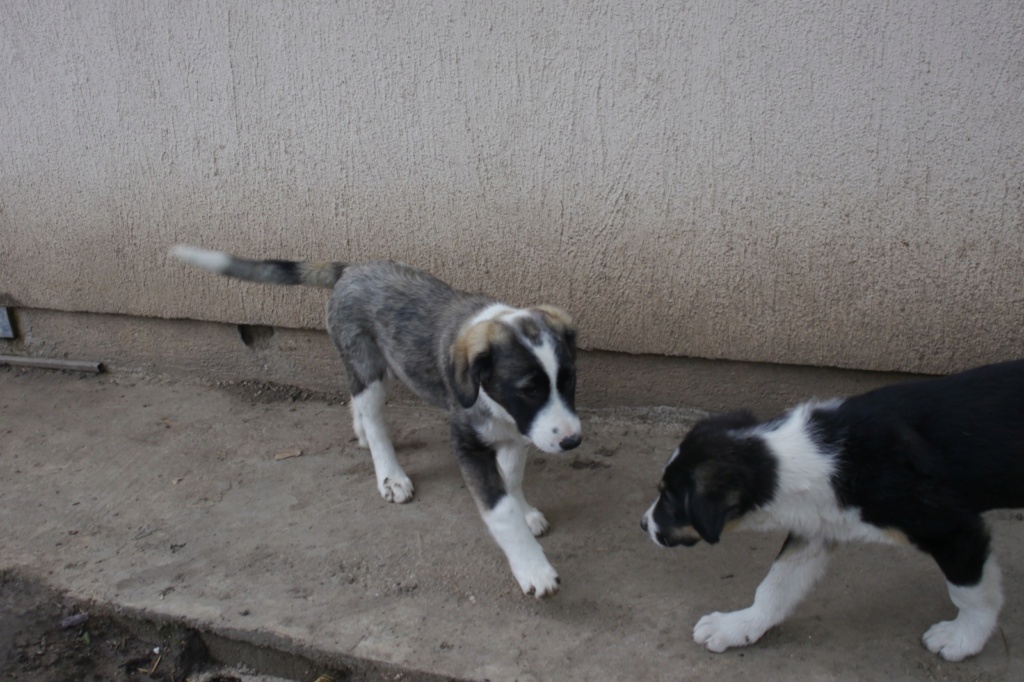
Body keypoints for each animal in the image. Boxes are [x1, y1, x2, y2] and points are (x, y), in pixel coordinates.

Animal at [172, 244, 581, 593]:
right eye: (528, 389)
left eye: (568, 380)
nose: (572, 441)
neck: (498, 406)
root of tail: (351, 269)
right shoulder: (468, 442)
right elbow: (499, 508)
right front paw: (532, 568)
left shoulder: (518, 432)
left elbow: (511, 478)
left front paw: (525, 511)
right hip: (366, 365)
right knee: (374, 418)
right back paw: (390, 474)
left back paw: (361, 432)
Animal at [638, 360, 1024, 659]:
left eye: (670, 501)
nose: (643, 525)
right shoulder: (817, 524)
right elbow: (776, 585)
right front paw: (739, 626)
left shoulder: (955, 530)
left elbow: (970, 592)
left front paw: (963, 638)